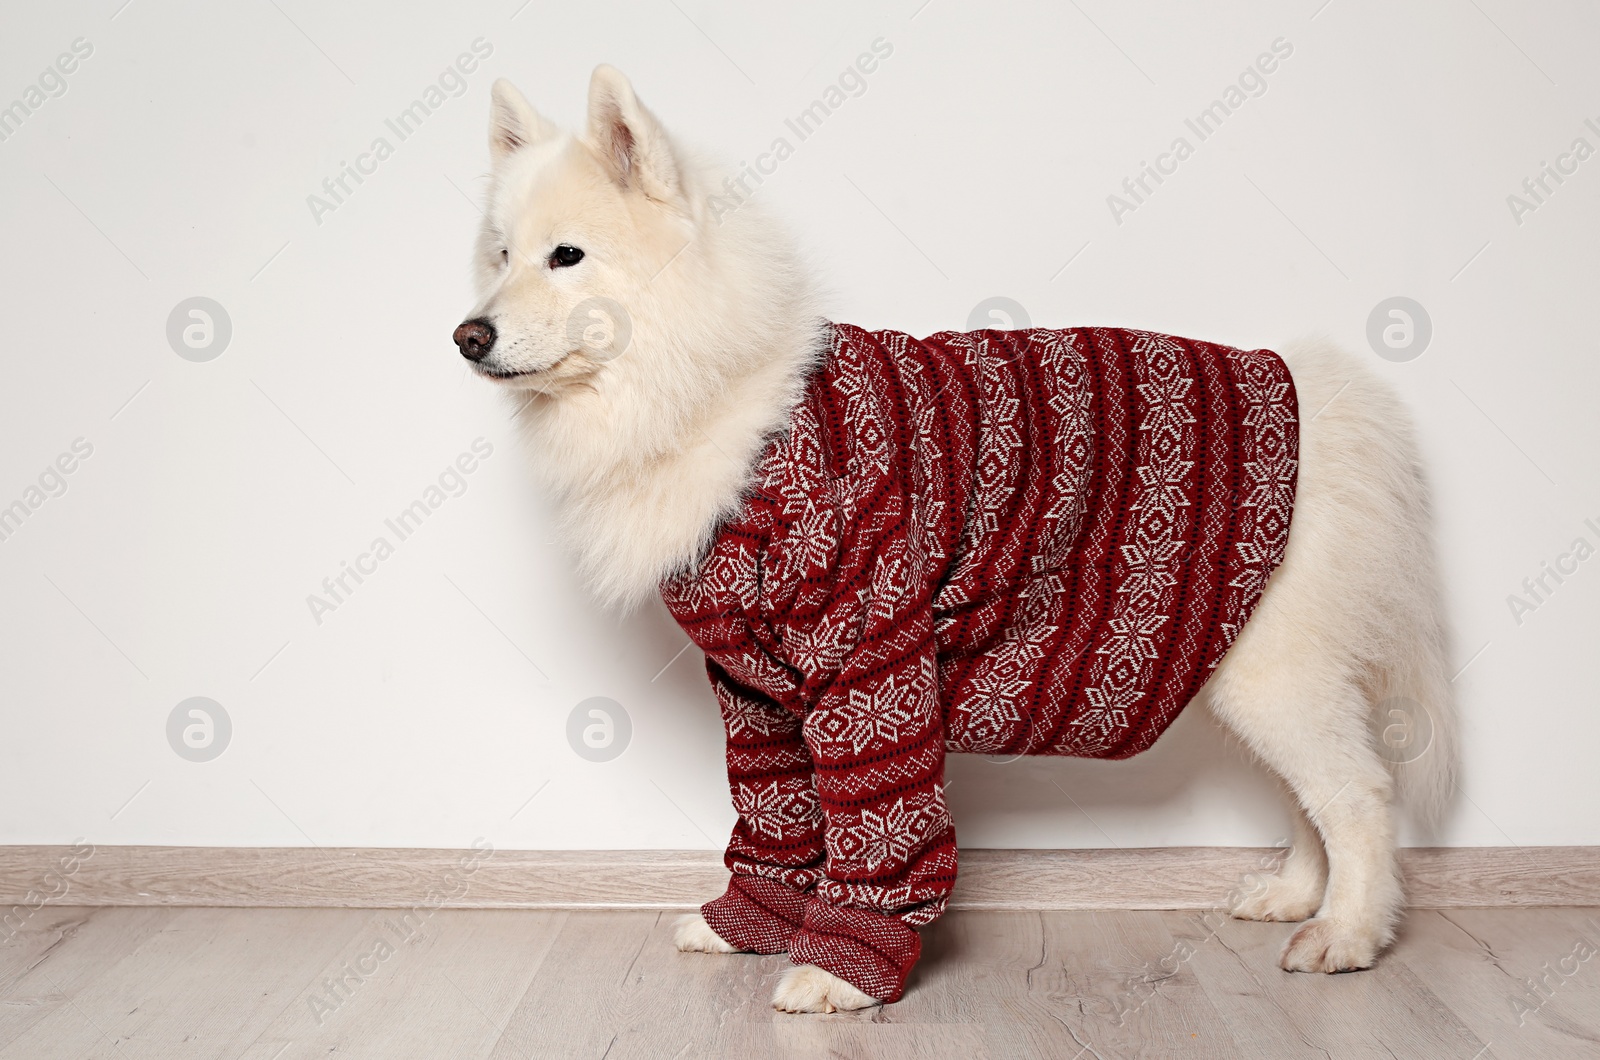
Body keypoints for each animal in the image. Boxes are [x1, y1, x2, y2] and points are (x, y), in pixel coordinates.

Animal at [457, 68, 1459, 1024]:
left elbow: (878, 829)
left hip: (1274, 676)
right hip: (1246, 664)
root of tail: (1330, 393)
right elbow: (775, 821)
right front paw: (746, 928)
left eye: (567, 256)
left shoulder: (868, 666)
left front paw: (838, 978)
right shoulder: (759, 693)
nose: (467, 336)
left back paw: (1348, 932)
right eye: (500, 255)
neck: (710, 382)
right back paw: (1296, 895)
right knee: (1310, 796)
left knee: (1359, 796)